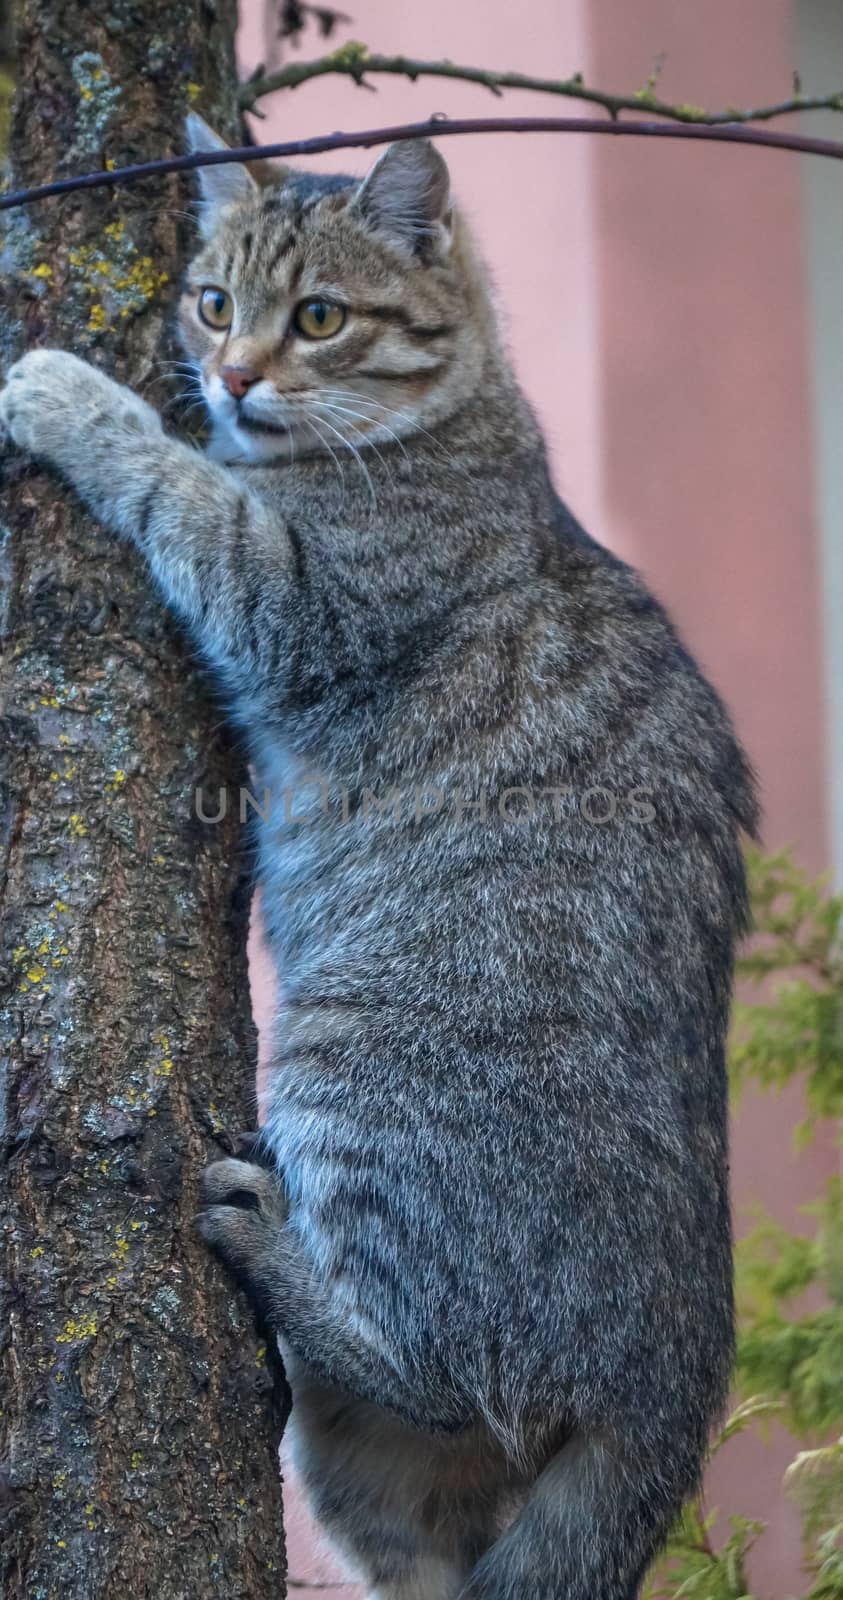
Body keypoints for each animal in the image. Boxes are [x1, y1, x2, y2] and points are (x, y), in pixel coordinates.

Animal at [0, 121, 761, 1600]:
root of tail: (674, 1384)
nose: (235, 377)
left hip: (358, 1047)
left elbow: (181, 485)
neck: (463, 430)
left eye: (319, 317)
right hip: (377, 1488)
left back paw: (267, 1239)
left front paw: (69, 397)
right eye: (214, 302)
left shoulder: (297, 601)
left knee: (434, 1365)